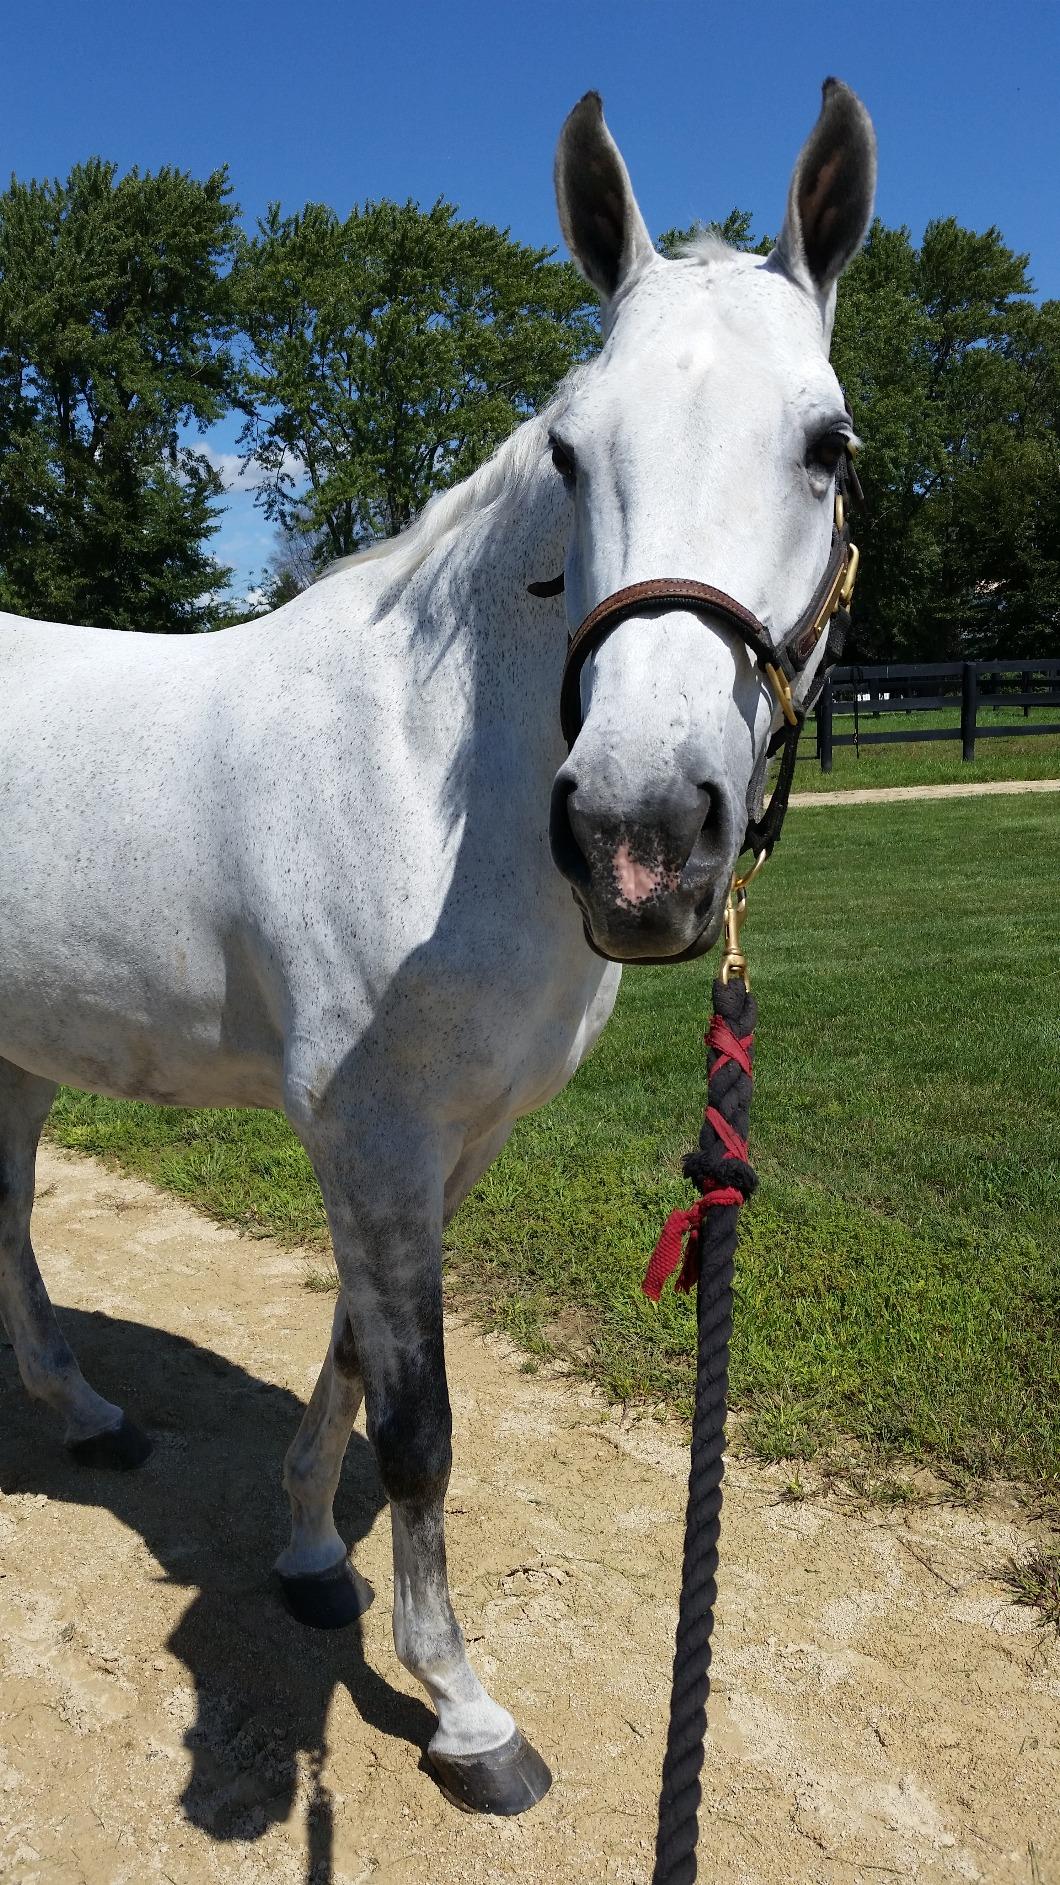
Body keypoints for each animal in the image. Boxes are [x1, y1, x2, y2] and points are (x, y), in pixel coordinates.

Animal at [0, 81, 875, 1813]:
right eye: (570, 449)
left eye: (827, 446)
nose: (642, 831)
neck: (424, 768)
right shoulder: (374, 1134)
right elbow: (421, 1424)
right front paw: (468, 1713)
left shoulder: (445, 1141)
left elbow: (354, 1355)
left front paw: (304, 1558)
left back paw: (88, 1414)